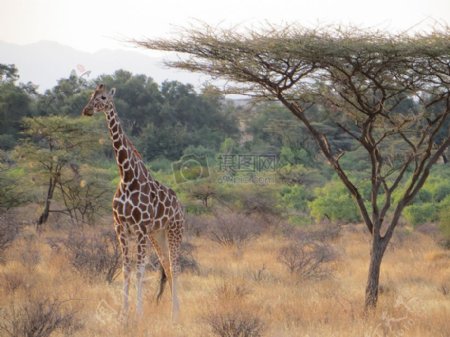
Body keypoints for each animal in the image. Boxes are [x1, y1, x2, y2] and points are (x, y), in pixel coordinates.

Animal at [81, 83, 185, 320]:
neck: (127, 176)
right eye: (91, 95)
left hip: (174, 230)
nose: (87, 110)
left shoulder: (140, 228)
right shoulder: (120, 227)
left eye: (103, 97)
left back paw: (175, 314)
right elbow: (126, 268)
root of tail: (180, 205)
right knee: (166, 265)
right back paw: (173, 310)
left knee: (175, 266)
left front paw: (138, 313)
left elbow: (139, 269)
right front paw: (123, 313)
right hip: (158, 234)